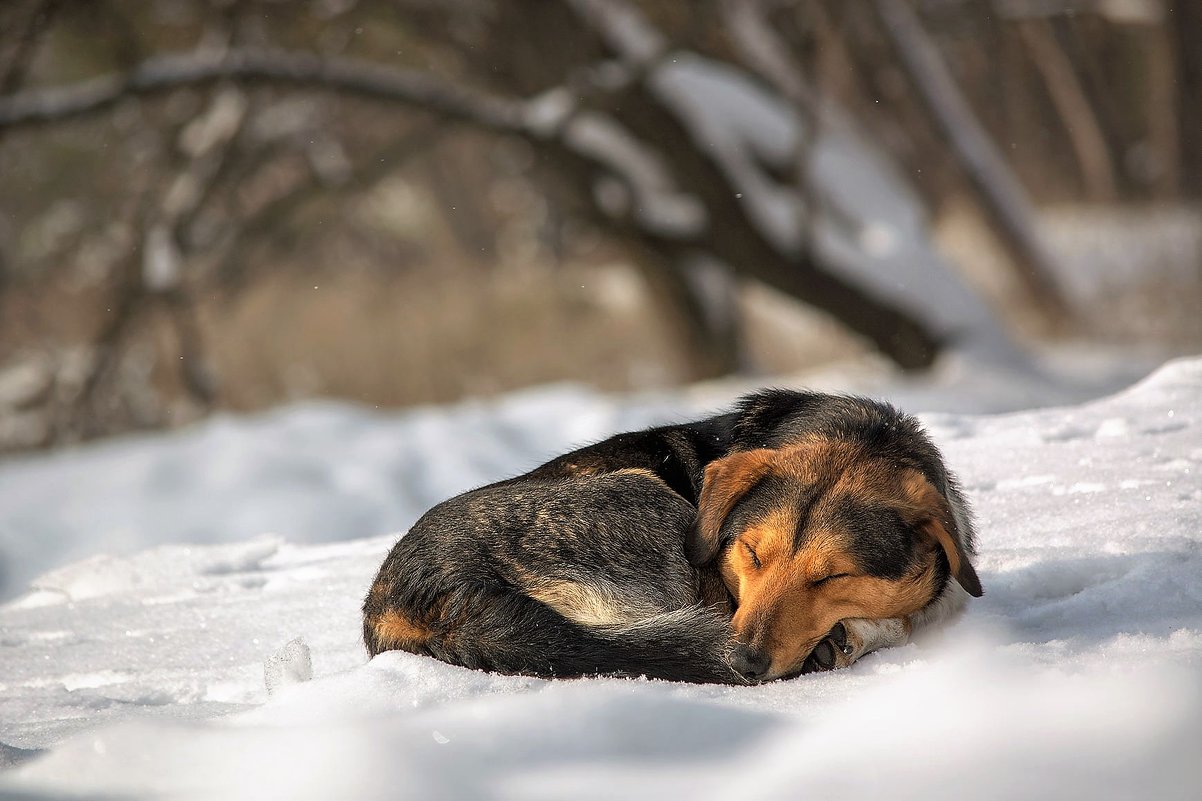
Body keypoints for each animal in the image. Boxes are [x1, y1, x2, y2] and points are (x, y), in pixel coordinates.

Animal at [360, 387, 980, 678]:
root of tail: (406, 603)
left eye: (831, 576)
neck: (865, 433)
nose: (742, 663)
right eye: (752, 554)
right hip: (648, 503)